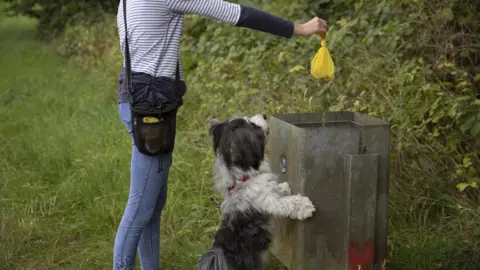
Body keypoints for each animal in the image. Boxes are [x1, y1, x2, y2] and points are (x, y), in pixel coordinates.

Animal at [195, 114, 316, 270]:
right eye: (253, 125)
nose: (264, 115)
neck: (242, 179)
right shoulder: (268, 200)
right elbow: (286, 203)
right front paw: (304, 205)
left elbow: (277, 190)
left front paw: (283, 187)